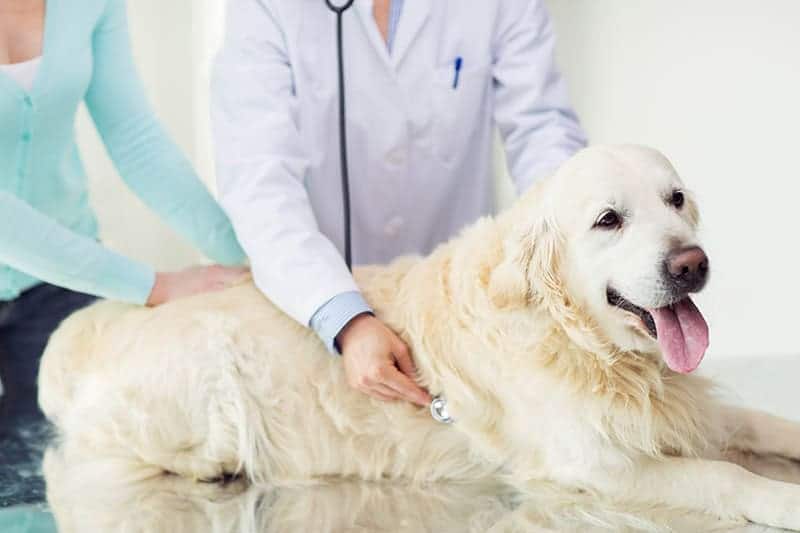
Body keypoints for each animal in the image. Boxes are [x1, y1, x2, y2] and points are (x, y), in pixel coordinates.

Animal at [39, 144, 800, 528]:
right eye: (608, 219)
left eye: (677, 199)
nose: (691, 264)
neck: (576, 338)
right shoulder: (593, 462)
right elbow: (723, 474)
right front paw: (782, 499)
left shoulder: (686, 407)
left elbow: (764, 424)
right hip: (207, 386)